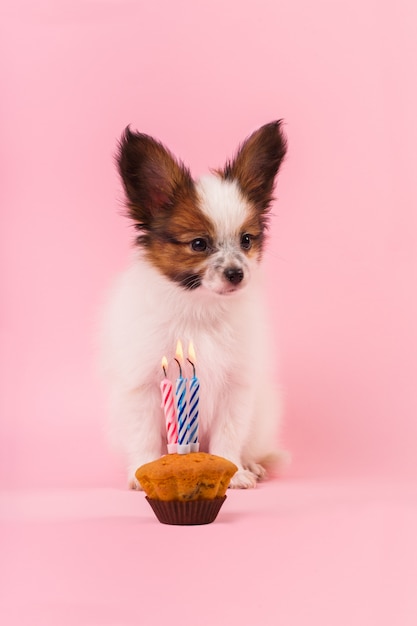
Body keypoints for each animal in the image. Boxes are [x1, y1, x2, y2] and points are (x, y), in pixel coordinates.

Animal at [101, 119, 288, 486]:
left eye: (246, 240)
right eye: (199, 244)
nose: (236, 274)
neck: (198, 309)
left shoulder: (236, 387)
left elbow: (229, 435)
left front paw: (233, 472)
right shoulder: (143, 386)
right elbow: (144, 434)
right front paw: (142, 470)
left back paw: (252, 465)